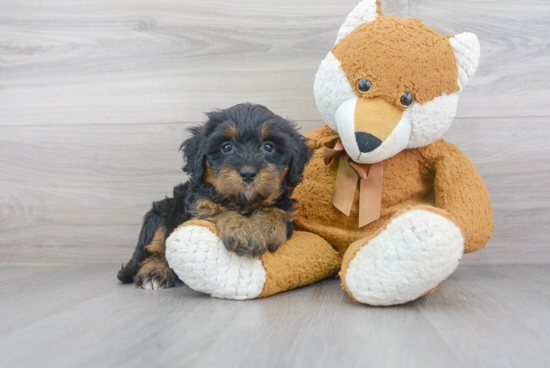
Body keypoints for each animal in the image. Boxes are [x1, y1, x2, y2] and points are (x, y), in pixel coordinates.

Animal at [116, 102, 314, 288]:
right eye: (226, 147)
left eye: (268, 147)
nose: (248, 173)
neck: (244, 204)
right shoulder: (198, 204)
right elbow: (217, 210)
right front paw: (244, 230)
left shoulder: (286, 205)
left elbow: (279, 210)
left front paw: (267, 226)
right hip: (161, 214)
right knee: (152, 249)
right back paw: (154, 272)